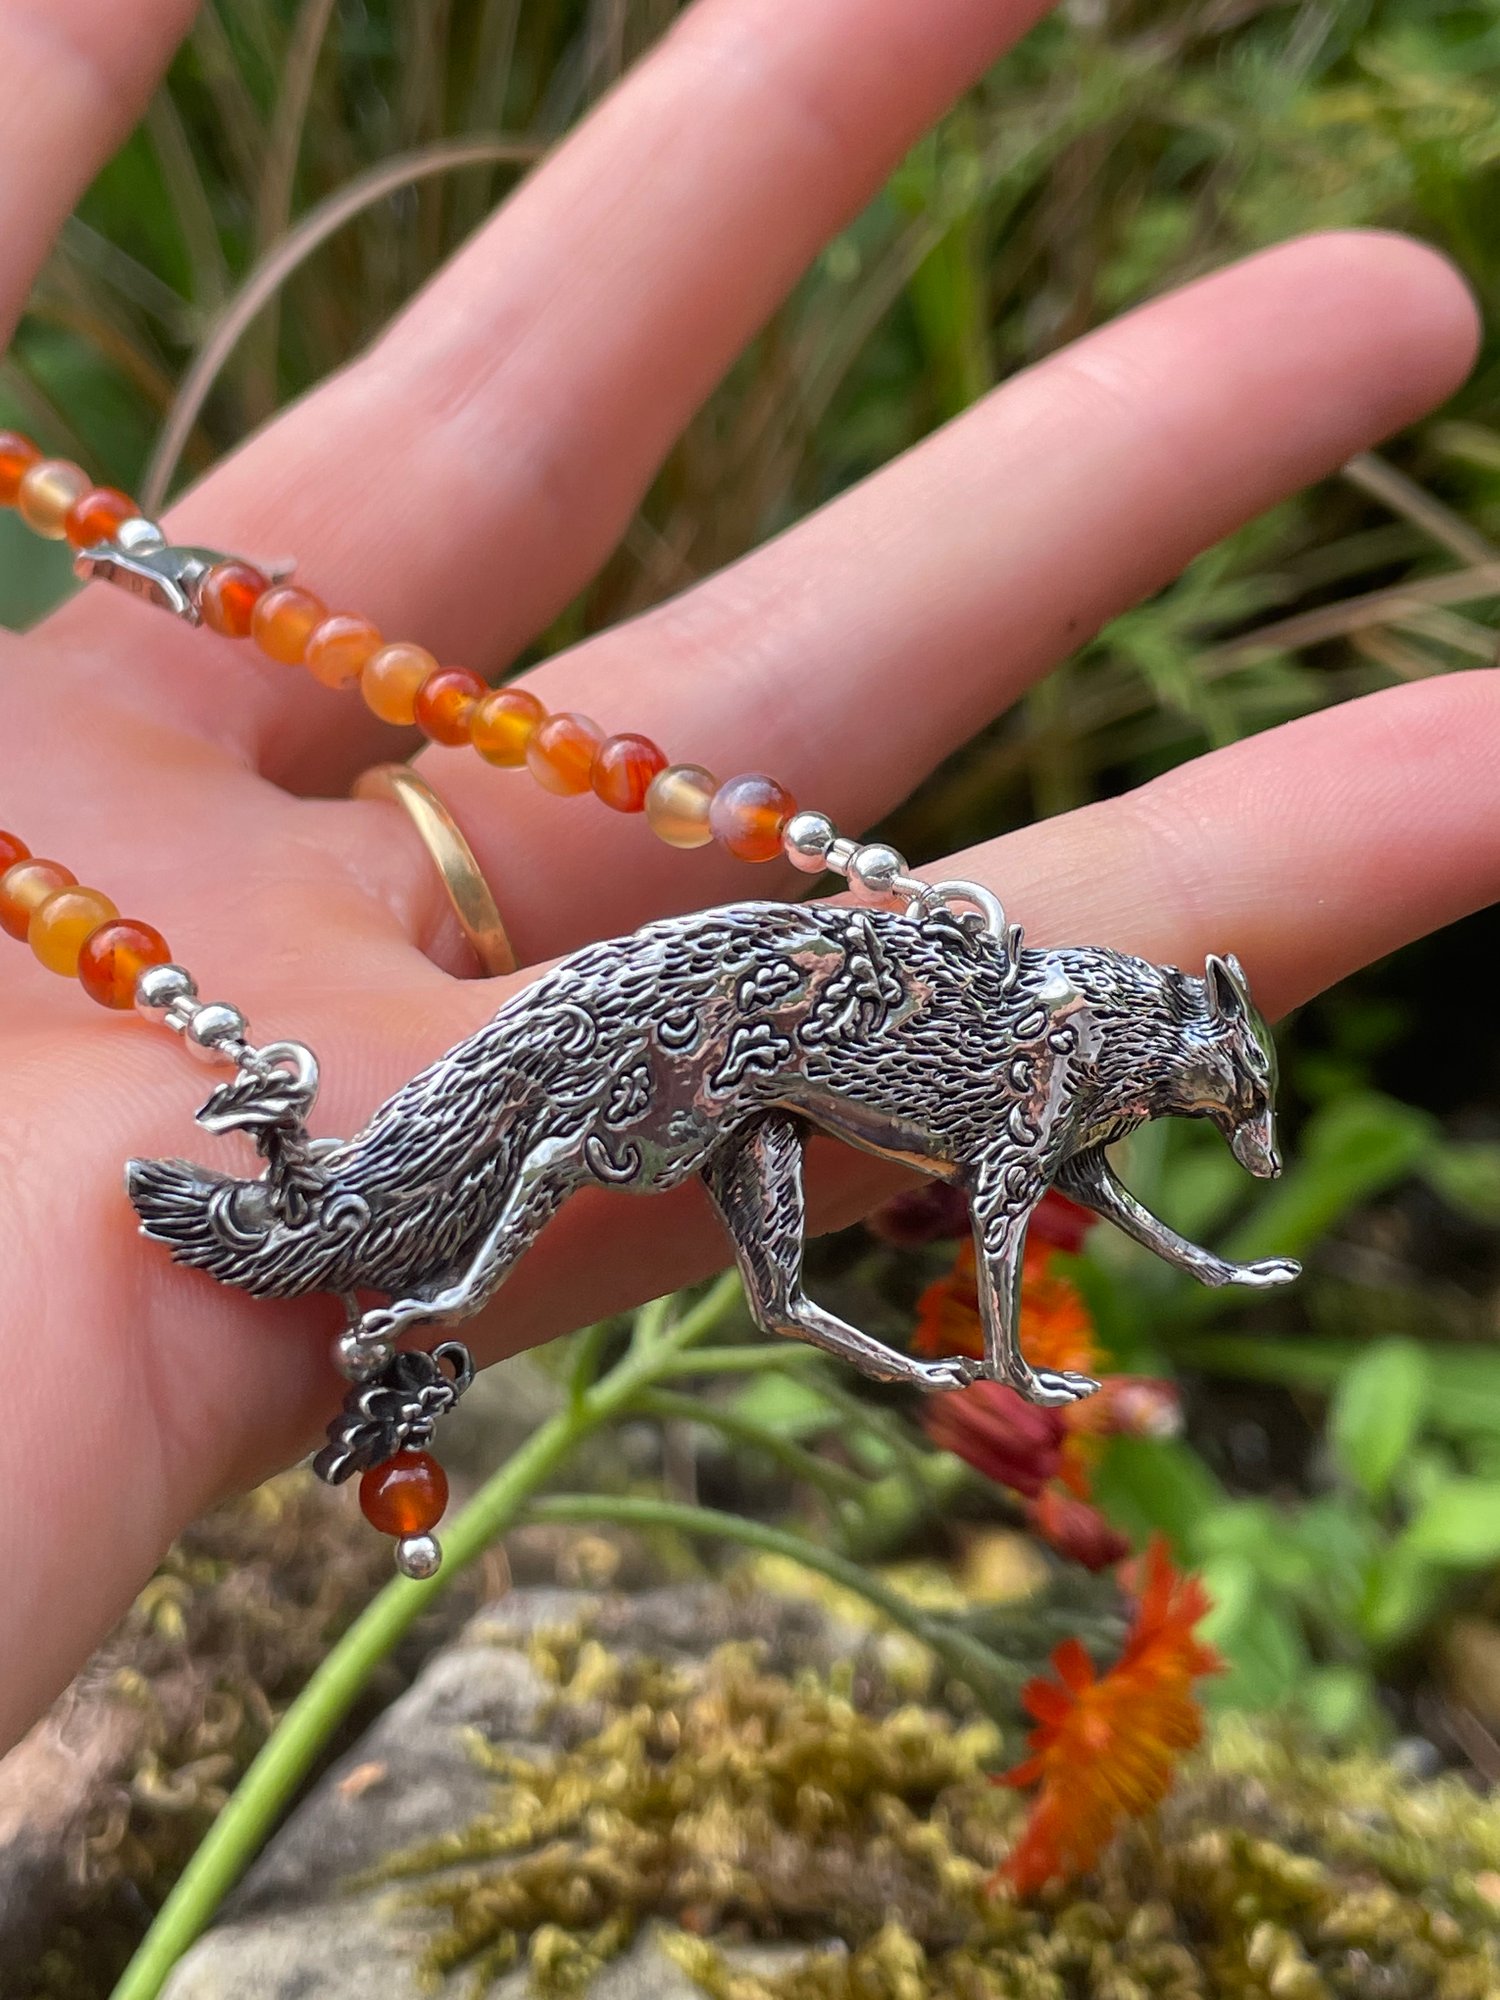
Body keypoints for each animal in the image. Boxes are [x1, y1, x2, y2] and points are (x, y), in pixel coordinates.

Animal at [127, 899, 1298, 1407]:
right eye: (1262, 1076)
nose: (1278, 1168)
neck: (1121, 1025)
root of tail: (608, 965)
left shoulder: (1076, 1169)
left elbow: (1170, 1239)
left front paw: (1247, 1273)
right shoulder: (1009, 1177)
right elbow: (1005, 1293)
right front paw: (1026, 1383)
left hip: (756, 1152)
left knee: (776, 1301)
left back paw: (916, 1370)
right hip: (653, 1138)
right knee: (548, 1161)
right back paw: (441, 1306)